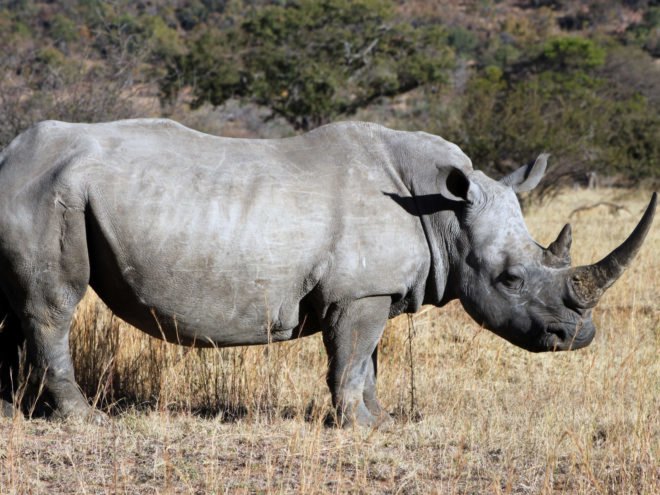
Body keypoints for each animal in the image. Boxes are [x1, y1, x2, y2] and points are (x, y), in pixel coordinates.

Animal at [0, 119, 655, 426]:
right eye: (511, 280)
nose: (579, 336)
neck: (443, 211)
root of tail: (10, 156)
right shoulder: (360, 292)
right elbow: (351, 358)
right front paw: (357, 426)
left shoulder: (376, 290)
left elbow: (368, 361)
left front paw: (381, 419)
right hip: (51, 193)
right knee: (53, 304)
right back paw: (83, 418)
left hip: (42, 189)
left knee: (13, 306)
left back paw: (15, 411)